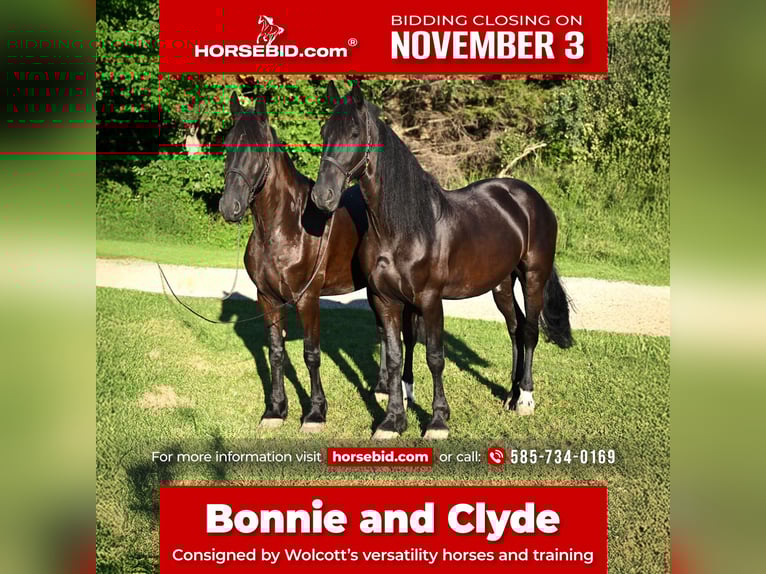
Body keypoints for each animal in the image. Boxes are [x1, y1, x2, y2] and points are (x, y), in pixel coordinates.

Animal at [219, 92, 418, 432]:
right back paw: (380, 388)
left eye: (258, 149)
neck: (286, 227)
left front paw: (315, 413)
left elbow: (311, 354)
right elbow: (276, 353)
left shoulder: (307, 298)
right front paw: (275, 410)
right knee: (382, 331)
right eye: (228, 145)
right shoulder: (267, 298)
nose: (229, 206)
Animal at [311, 82, 573, 439]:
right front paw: (393, 421)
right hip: (502, 285)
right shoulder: (385, 300)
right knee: (516, 328)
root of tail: (532, 199)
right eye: (324, 132)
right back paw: (510, 394)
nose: (322, 196)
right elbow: (395, 357)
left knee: (531, 331)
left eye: (353, 132)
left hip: (532, 276)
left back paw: (525, 400)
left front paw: (437, 421)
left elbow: (435, 357)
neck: (401, 230)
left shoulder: (430, 300)